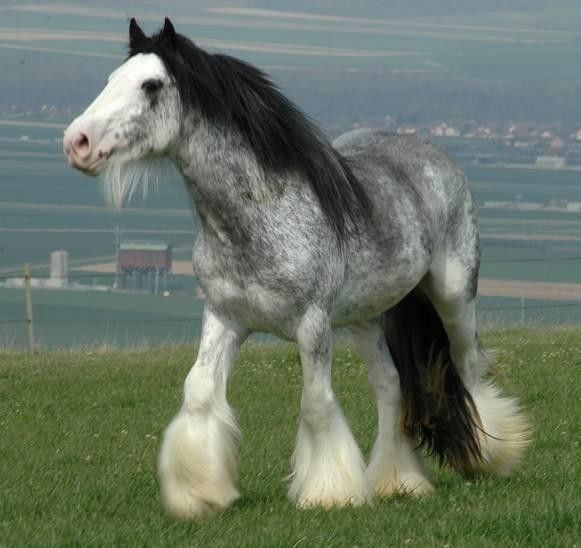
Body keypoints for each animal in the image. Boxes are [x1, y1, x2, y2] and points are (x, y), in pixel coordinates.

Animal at [63, 18, 532, 520]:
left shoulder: (312, 325)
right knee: (390, 386)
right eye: (112, 78)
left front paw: (329, 494)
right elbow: (200, 391)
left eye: (151, 85)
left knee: (468, 365)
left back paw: (491, 455)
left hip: (454, 296)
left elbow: (316, 404)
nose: (77, 143)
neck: (263, 217)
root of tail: (433, 154)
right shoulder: (225, 318)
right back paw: (397, 481)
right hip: (367, 318)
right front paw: (200, 493)